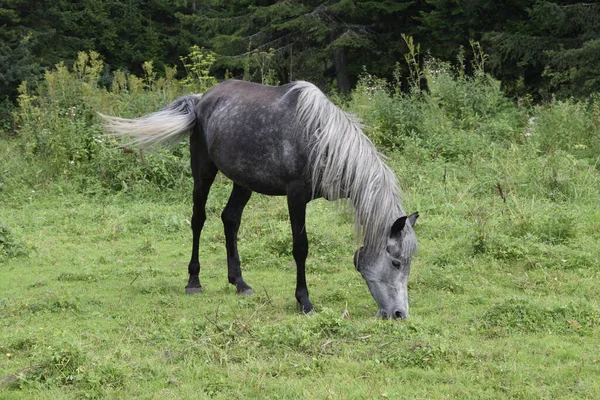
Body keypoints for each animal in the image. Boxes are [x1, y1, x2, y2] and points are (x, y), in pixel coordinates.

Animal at [99, 80, 418, 318]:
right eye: (396, 263)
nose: (399, 314)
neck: (321, 140)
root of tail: (201, 99)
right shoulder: (295, 197)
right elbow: (300, 248)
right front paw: (304, 301)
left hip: (243, 182)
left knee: (230, 219)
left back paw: (239, 283)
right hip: (203, 172)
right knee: (198, 220)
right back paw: (194, 281)